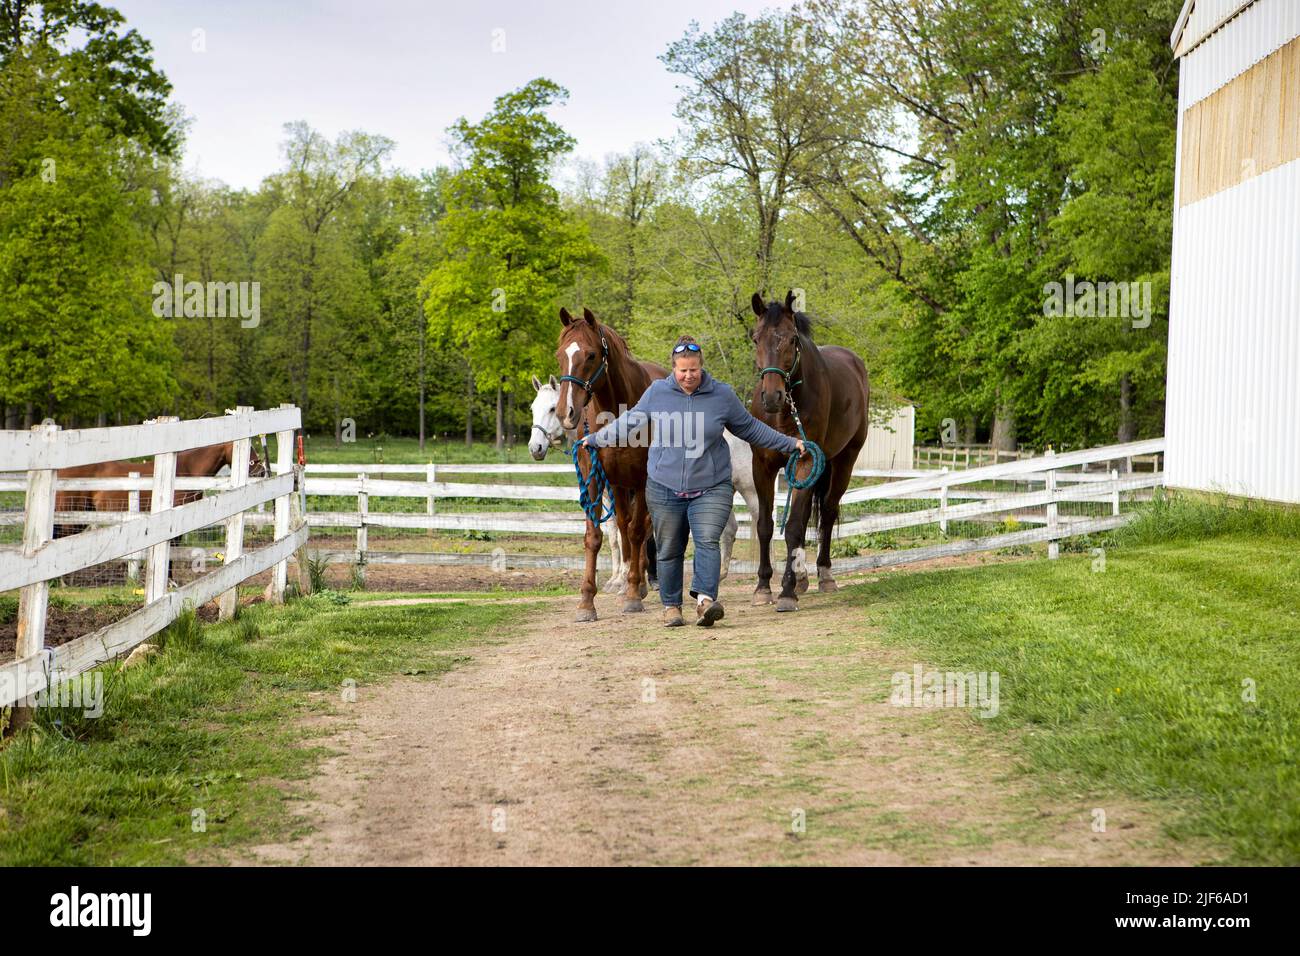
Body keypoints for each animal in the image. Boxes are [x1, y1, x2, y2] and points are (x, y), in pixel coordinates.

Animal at [553, 304, 665, 621]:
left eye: (591, 355)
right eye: (560, 354)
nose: (566, 412)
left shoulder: (642, 479)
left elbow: (638, 531)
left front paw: (633, 595)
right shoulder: (595, 476)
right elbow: (595, 536)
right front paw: (586, 602)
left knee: (642, 528)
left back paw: (638, 584)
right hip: (617, 484)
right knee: (624, 526)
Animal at [748, 287, 868, 613]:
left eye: (792, 339)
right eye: (756, 338)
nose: (772, 396)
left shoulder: (804, 461)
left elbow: (792, 527)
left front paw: (787, 592)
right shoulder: (761, 466)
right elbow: (765, 526)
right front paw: (763, 586)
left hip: (845, 460)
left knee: (827, 512)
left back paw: (824, 575)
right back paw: (801, 576)